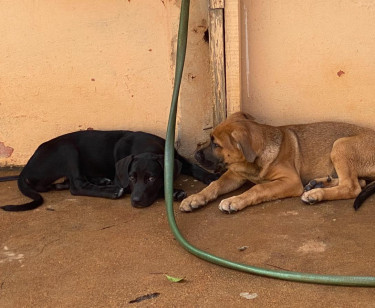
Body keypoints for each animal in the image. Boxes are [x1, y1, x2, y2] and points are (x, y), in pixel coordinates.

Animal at [0, 130, 217, 212]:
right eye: (131, 177)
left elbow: (194, 167)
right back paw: (110, 189)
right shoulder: (123, 179)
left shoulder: (178, 158)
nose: (135, 202)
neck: (146, 146)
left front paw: (211, 176)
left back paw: (102, 181)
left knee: (66, 184)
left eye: (151, 178)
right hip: (68, 149)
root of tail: (26, 169)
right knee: (76, 186)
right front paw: (173, 192)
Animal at [179, 111, 375, 214]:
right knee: (359, 182)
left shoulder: (291, 181)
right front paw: (195, 198)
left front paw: (235, 200)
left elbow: (259, 188)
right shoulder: (235, 173)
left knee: (352, 187)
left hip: (340, 145)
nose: (195, 155)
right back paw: (317, 184)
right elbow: (215, 184)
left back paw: (315, 194)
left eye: (216, 144)